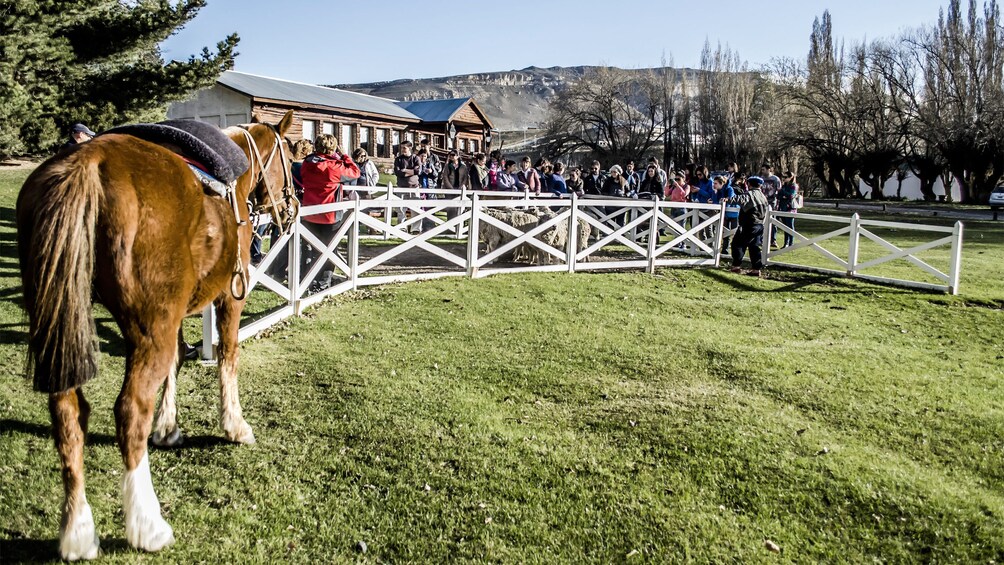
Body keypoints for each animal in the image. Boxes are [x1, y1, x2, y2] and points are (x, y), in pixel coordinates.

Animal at [17, 109, 293, 557]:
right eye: (290, 157)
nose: (293, 205)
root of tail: (88, 160)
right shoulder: (228, 296)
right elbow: (228, 356)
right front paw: (234, 425)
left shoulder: (176, 312)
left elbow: (177, 361)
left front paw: (167, 426)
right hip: (148, 328)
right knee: (130, 410)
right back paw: (147, 524)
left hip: (60, 323)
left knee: (67, 412)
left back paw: (77, 529)